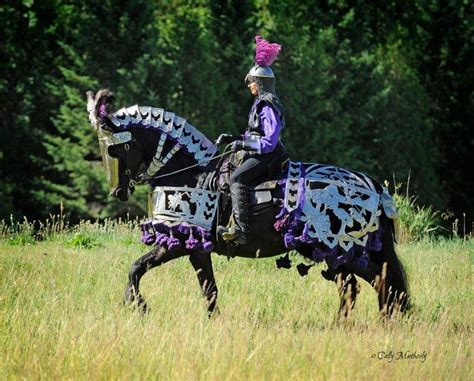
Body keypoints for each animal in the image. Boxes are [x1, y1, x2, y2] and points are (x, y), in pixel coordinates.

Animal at [87, 89, 410, 318]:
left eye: (117, 149)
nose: (118, 191)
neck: (190, 174)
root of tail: (373, 187)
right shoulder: (197, 250)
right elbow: (209, 288)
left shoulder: (176, 244)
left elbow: (136, 267)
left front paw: (138, 305)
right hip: (340, 253)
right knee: (363, 286)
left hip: (339, 249)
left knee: (375, 283)